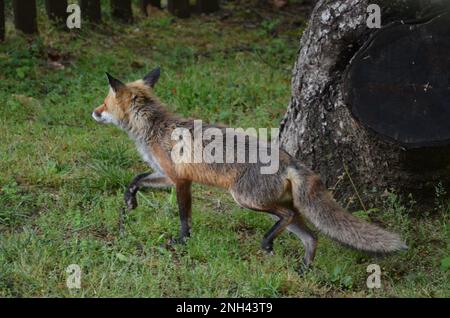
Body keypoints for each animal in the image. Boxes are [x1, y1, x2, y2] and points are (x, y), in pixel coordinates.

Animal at [91, 68, 408, 270]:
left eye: (104, 103)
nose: (93, 112)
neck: (156, 128)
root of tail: (290, 160)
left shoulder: (181, 180)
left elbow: (183, 217)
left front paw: (182, 241)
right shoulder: (166, 175)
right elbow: (135, 179)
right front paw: (130, 202)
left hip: (245, 199)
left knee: (288, 217)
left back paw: (267, 243)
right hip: (272, 204)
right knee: (311, 235)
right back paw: (304, 269)